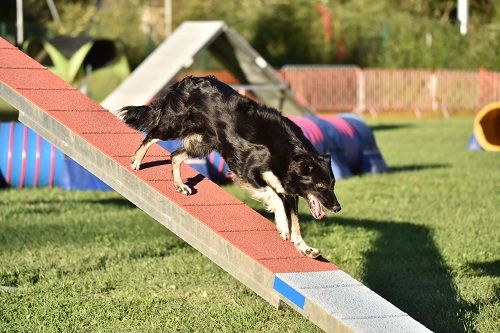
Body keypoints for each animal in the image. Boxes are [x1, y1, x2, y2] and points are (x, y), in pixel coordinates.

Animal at [117, 76, 340, 256]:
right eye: (320, 185)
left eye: (332, 184)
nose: (337, 208)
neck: (289, 154)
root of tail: (186, 80)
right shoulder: (247, 171)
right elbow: (274, 198)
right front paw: (283, 227)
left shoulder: (289, 191)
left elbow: (296, 223)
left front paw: (304, 248)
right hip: (175, 126)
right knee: (152, 135)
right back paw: (136, 160)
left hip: (203, 143)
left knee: (175, 155)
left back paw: (180, 185)